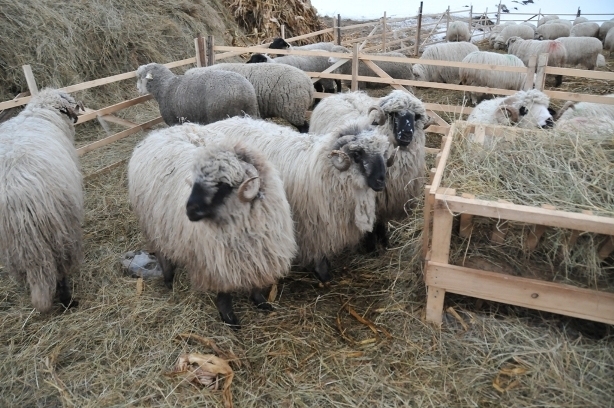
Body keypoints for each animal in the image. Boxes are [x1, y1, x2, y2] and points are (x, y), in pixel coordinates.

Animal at [0, 88, 84, 312]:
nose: (77, 116)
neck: (42, 112)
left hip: (13, 247)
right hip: (58, 233)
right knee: (60, 271)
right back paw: (67, 301)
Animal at [127, 124, 296, 326]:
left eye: (223, 184)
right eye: (196, 179)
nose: (189, 210)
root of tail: (161, 131)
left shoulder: (258, 256)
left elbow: (256, 284)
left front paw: (261, 303)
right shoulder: (216, 263)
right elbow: (224, 294)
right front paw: (229, 319)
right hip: (153, 225)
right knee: (161, 253)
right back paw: (168, 279)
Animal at [308, 90, 428, 250]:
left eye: (416, 116)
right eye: (394, 114)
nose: (407, 133)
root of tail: (342, 93)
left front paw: (384, 241)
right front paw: (371, 245)